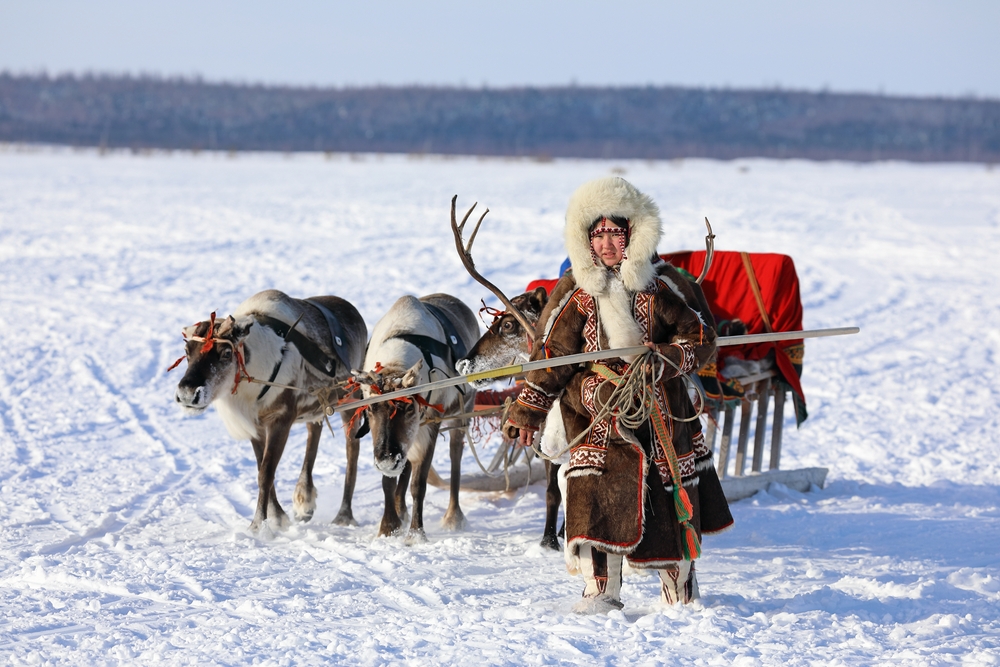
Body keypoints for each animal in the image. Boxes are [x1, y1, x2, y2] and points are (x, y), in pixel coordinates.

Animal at [171, 289, 368, 534]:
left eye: (226, 353)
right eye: (186, 351)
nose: (187, 393)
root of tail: (354, 311)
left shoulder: (281, 419)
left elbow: (266, 473)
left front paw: (257, 526)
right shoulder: (255, 426)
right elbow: (262, 470)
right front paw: (279, 518)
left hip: (350, 399)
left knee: (352, 449)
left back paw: (344, 515)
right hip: (317, 406)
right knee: (314, 433)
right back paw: (305, 500)